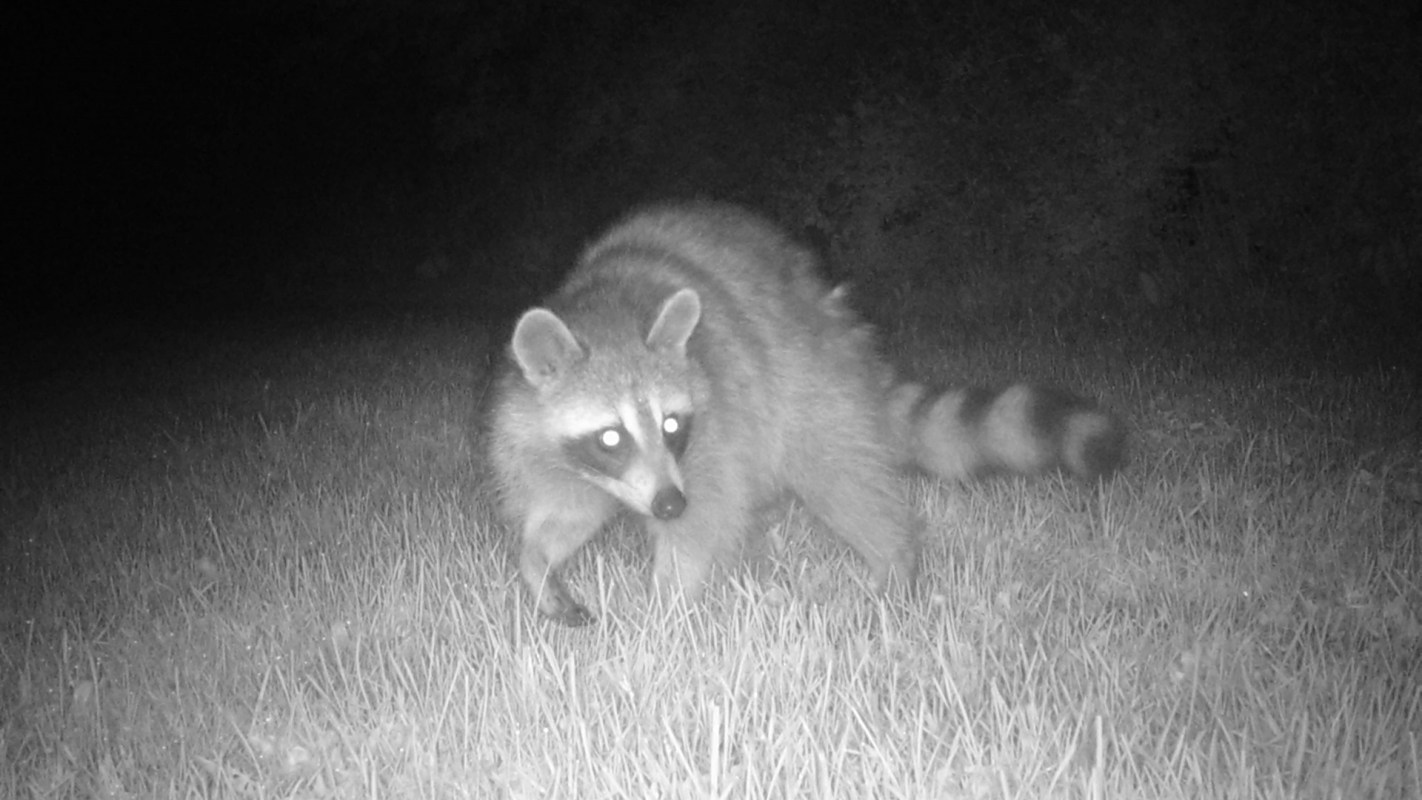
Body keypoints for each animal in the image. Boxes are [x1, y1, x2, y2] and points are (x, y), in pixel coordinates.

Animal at [486, 202, 1123, 624]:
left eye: (671, 424)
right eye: (611, 437)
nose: (667, 504)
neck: (610, 312)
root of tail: (839, 323)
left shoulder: (716, 419)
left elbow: (705, 518)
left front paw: (667, 609)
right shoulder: (555, 448)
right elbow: (566, 513)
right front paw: (539, 566)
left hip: (807, 387)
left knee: (842, 480)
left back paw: (895, 563)